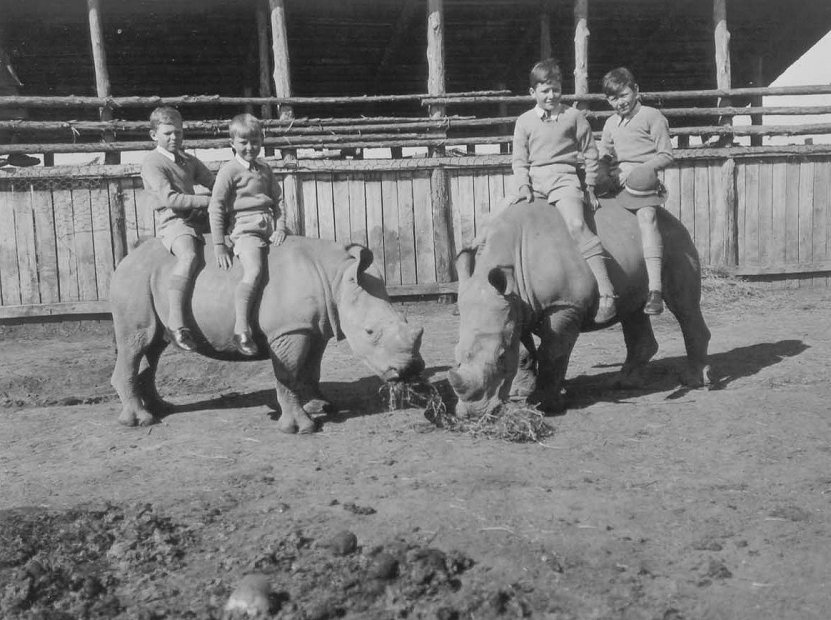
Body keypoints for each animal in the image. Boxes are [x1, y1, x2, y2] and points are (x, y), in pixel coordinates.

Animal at [109, 236, 424, 433]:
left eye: (409, 322)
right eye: (369, 332)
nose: (409, 370)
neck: (336, 278)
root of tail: (124, 259)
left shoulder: (313, 327)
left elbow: (311, 369)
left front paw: (320, 405)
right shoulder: (288, 330)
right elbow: (288, 374)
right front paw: (301, 428)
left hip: (146, 282)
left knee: (152, 346)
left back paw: (162, 408)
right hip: (133, 281)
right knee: (136, 342)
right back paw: (141, 421)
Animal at [449, 198, 711, 418]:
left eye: (501, 356)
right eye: (456, 356)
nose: (473, 413)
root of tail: (671, 217)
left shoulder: (564, 304)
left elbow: (553, 352)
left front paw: (543, 405)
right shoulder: (515, 306)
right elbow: (523, 351)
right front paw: (521, 391)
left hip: (675, 242)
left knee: (683, 306)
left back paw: (694, 381)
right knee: (633, 311)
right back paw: (623, 382)